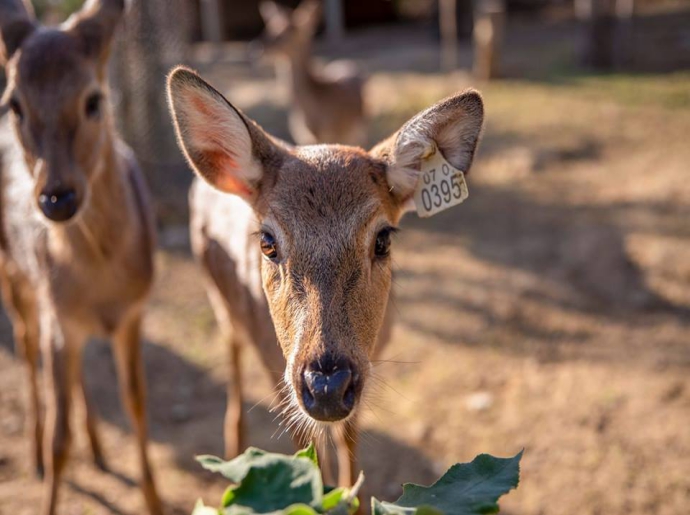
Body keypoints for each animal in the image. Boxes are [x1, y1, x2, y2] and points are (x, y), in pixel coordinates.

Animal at [0, 1, 161, 515]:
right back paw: (33, 452)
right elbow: (59, 439)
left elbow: (137, 404)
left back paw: (99, 447)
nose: (57, 197)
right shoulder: (58, 314)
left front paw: (154, 499)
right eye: (15, 103)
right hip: (14, 276)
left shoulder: (133, 312)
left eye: (93, 99)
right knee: (25, 344)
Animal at [167, 66, 484, 490]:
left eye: (383, 239)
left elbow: (349, 450)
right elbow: (312, 459)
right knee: (232, 359)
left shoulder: (368, 367)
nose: (327, 385)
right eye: (267, 241)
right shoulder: (280, 371)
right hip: (221, 301)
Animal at [255, 0, 368, 146]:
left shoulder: (331, 134)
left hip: (359, 128)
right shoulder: (303, 137)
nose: (258, 47)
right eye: (269, 27)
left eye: (288, 32)